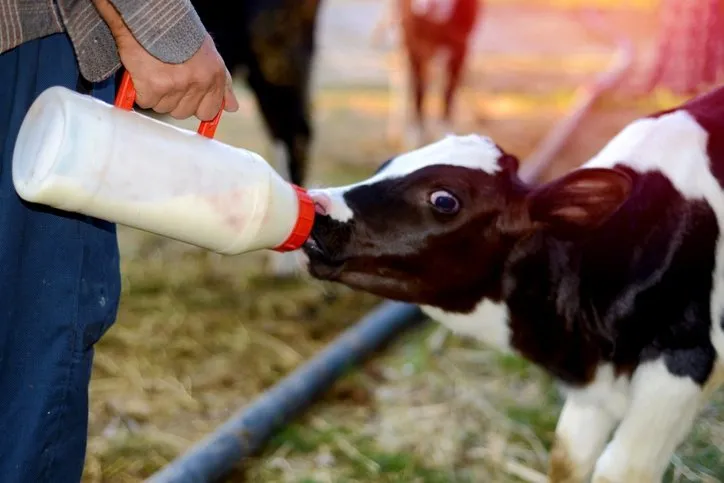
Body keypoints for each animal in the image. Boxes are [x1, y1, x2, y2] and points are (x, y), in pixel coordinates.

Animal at [302, 87, 724, 483]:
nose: (318, 206)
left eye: (444, 199)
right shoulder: (592, 390)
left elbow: (621, 470)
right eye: (386, 164)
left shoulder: (682, 362)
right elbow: (567, 459)